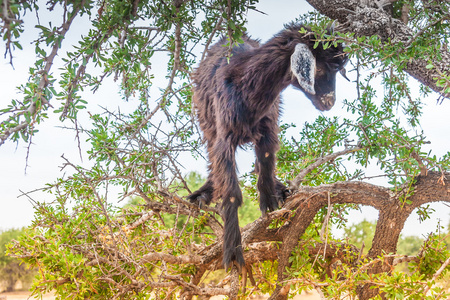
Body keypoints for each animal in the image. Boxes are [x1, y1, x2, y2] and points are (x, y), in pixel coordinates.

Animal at [186, 22, 348, 268]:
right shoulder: (224, 136)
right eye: (320, 69)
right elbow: (231, 191)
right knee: (212, 157)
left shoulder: (268, 129)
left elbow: (265, 169)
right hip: (206, 120)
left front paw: (272, 205)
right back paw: (203, 194)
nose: (329, 102)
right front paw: (232, 253)